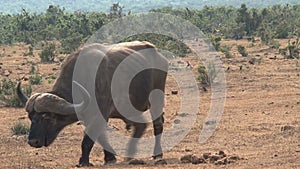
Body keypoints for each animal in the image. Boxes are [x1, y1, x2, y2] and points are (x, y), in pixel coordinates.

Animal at [17, 41, 169, 166]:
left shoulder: (99, 115)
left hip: (156, 99)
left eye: (47, 118)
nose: (33, 141)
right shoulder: (88, 117)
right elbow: (101, 137)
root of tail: (159, 56)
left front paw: (83, 161)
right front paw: (110, 158)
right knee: (140, 125)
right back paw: (130, 153)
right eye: (31, 117)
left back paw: (157, 154)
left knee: (157, 124)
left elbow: (87, 141)